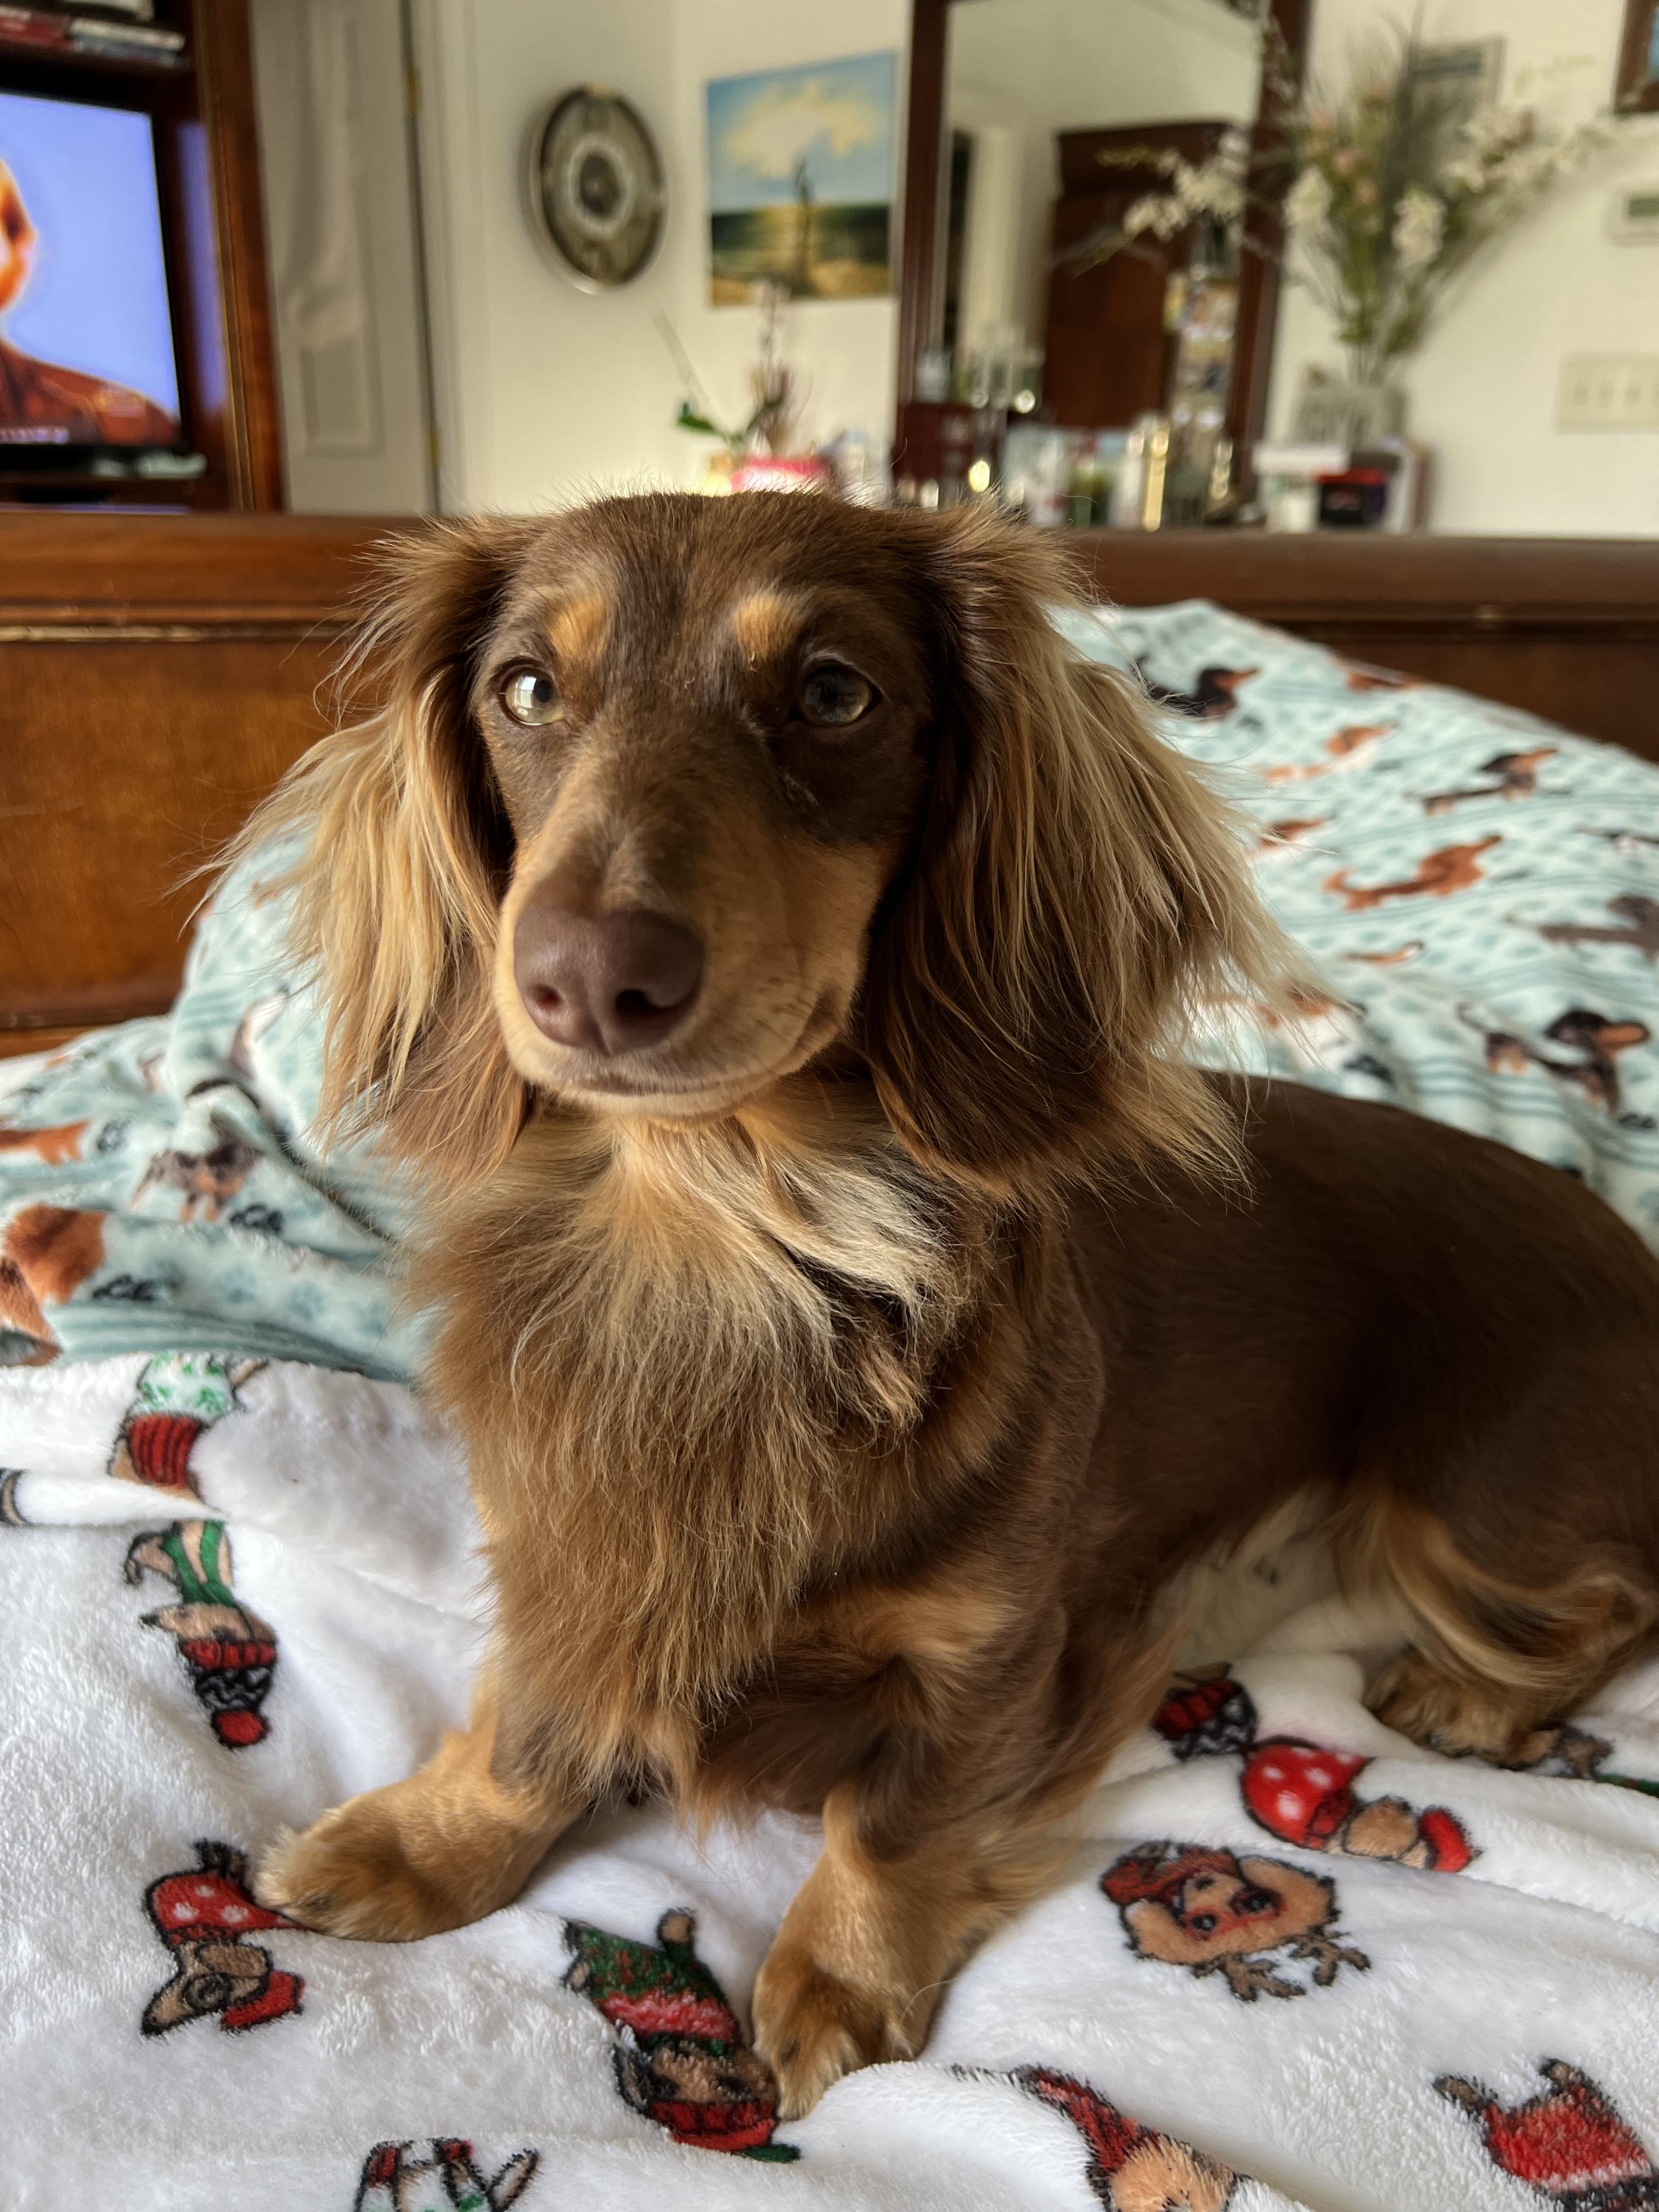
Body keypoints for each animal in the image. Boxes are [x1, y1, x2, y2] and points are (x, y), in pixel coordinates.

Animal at [239, 493, 1659, 2119]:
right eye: (526, 689)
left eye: (833, 692)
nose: (587, 980)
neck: (726, 1235)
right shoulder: (569, 1555)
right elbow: (533, 1728)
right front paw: (431, 1840)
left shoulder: (997, 1653)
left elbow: (895, 1822)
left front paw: (843, 1977)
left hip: (1470, 1513)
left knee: (1617, 1595)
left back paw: (1474, 1698)